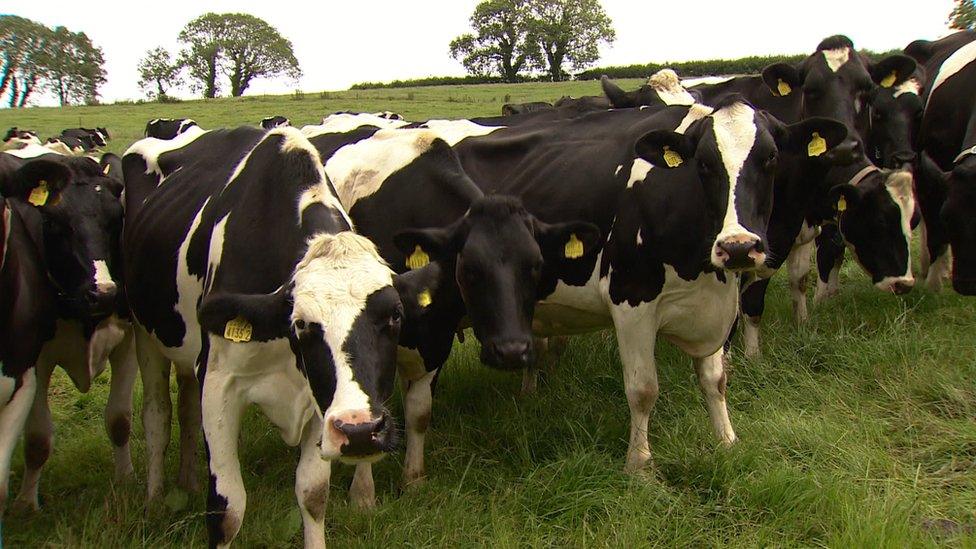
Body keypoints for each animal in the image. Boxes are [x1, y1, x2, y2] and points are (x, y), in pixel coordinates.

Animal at [122, 125, 438, 548]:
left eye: (396, 316)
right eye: (301, 323)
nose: (359, 430)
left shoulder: (318, 397)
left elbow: (313, 494)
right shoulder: (218, 382)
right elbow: (227, 508)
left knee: (185, 409)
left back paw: (186, 482)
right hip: (145, 334)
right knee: (157, 417)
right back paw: (155, 500)